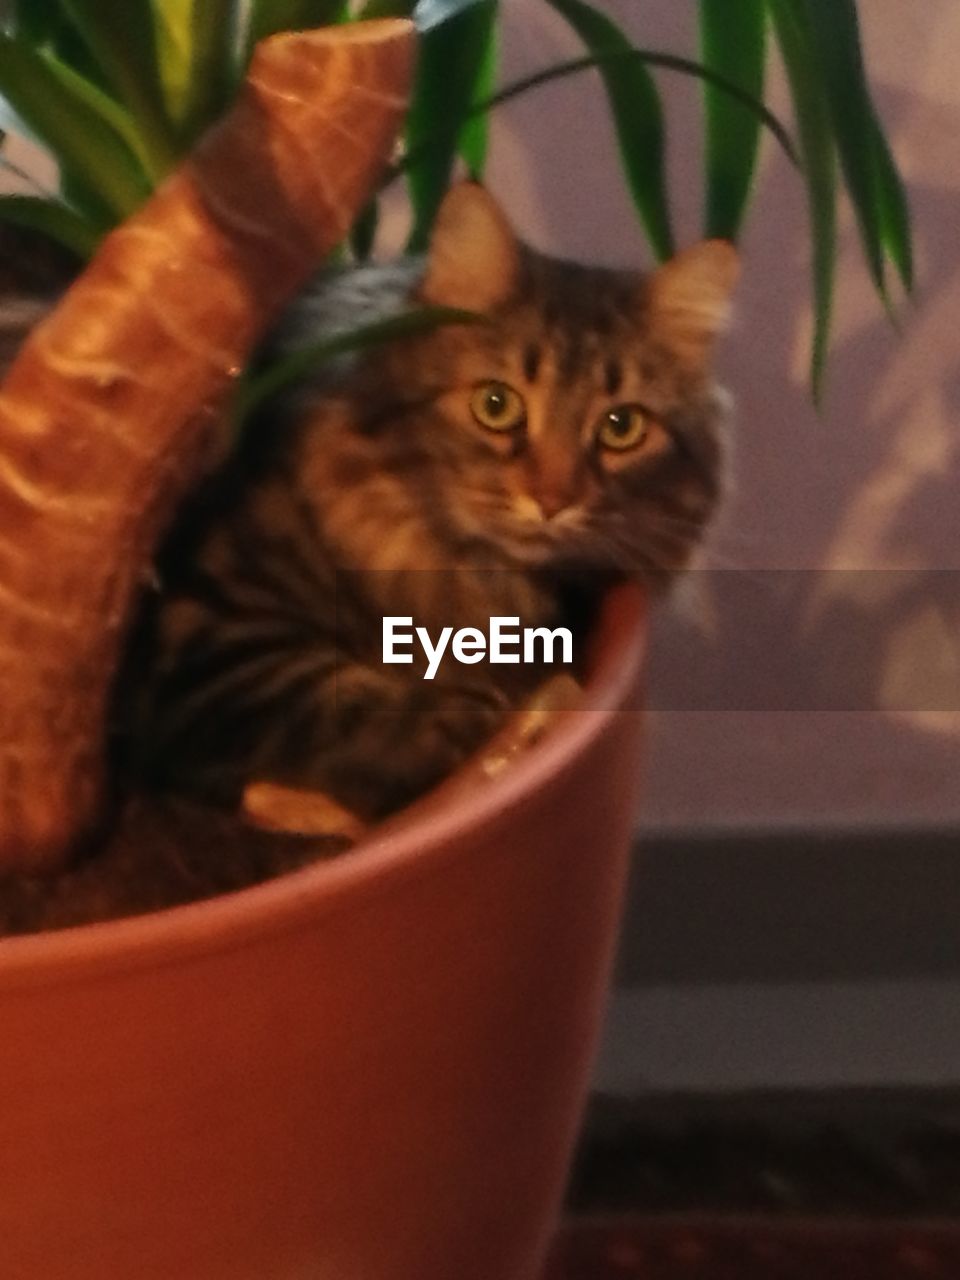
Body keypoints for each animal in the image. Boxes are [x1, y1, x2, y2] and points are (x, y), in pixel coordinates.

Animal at [120, 180, 737, 819]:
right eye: (496, 405)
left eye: (621, 427)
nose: (551, 500)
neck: (469, 576)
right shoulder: (203, 635)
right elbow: (335, 697)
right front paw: (472, 715)